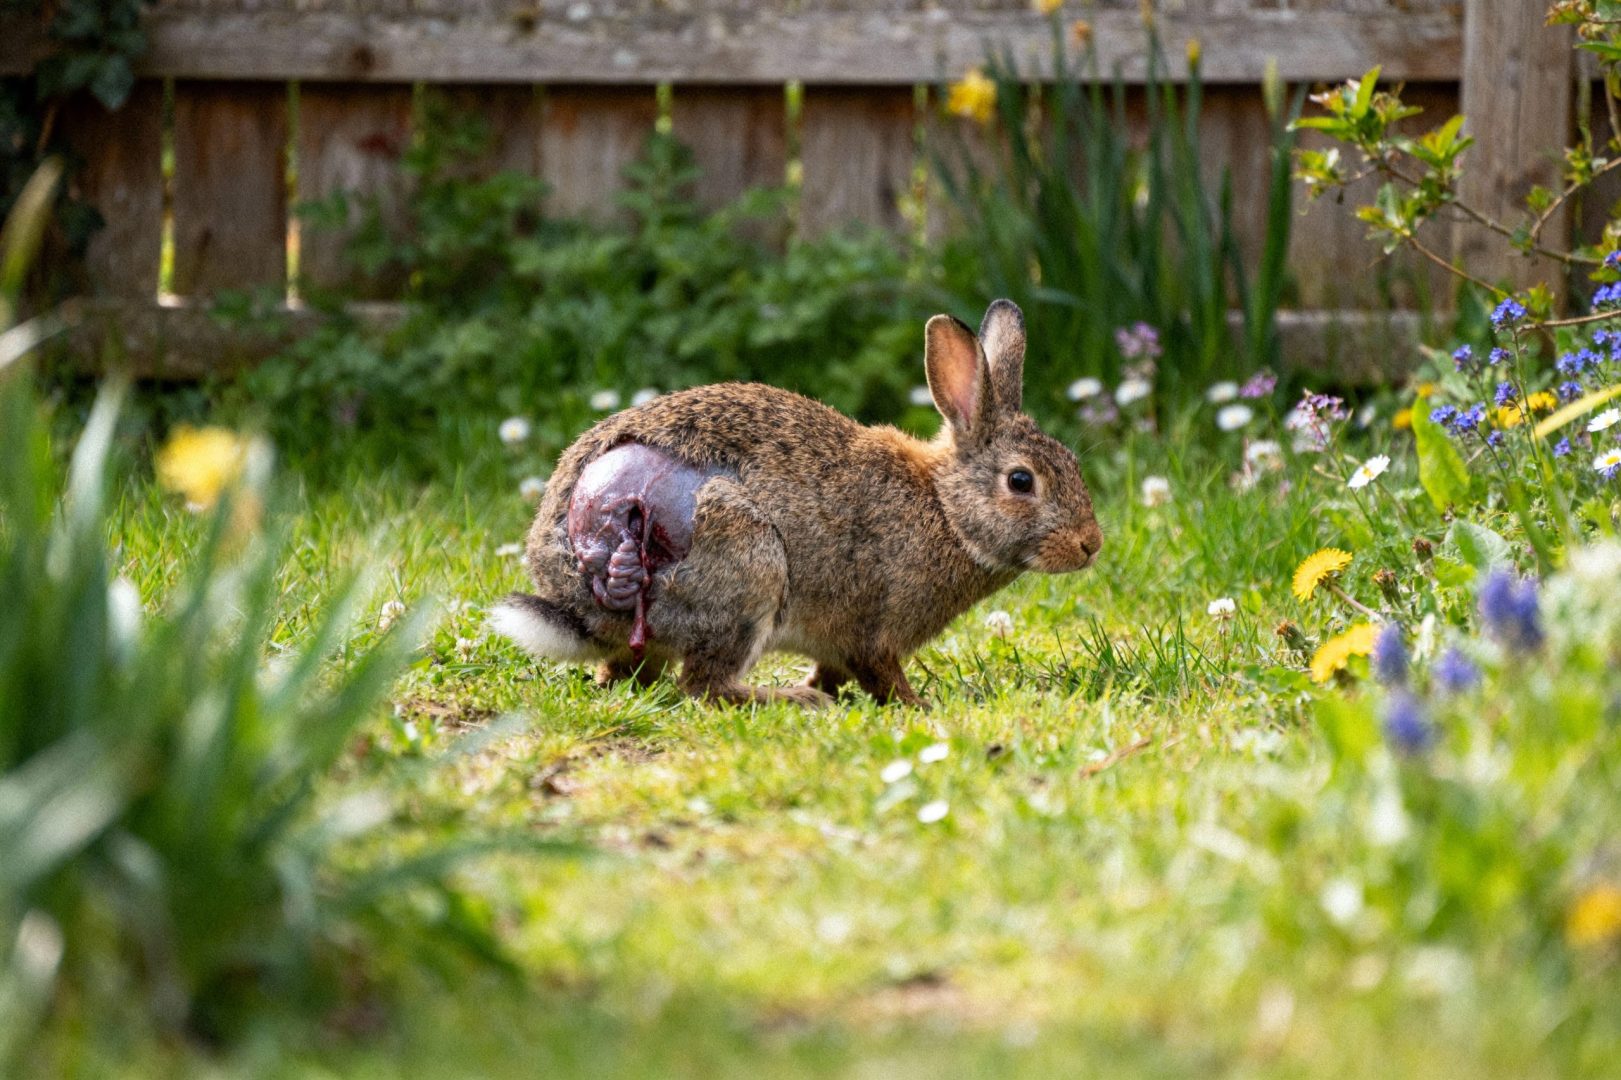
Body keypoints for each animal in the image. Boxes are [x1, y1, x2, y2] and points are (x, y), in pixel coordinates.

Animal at [491, 299, 1102, 708]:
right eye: (1021, 481)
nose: (1090, 546)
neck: (946, 512)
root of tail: (577, 586)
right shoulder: (875, 629)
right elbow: (881, 673)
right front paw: (917, 705)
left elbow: (833, 667)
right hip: (747, 564)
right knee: (703, 685)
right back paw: (791, 701)